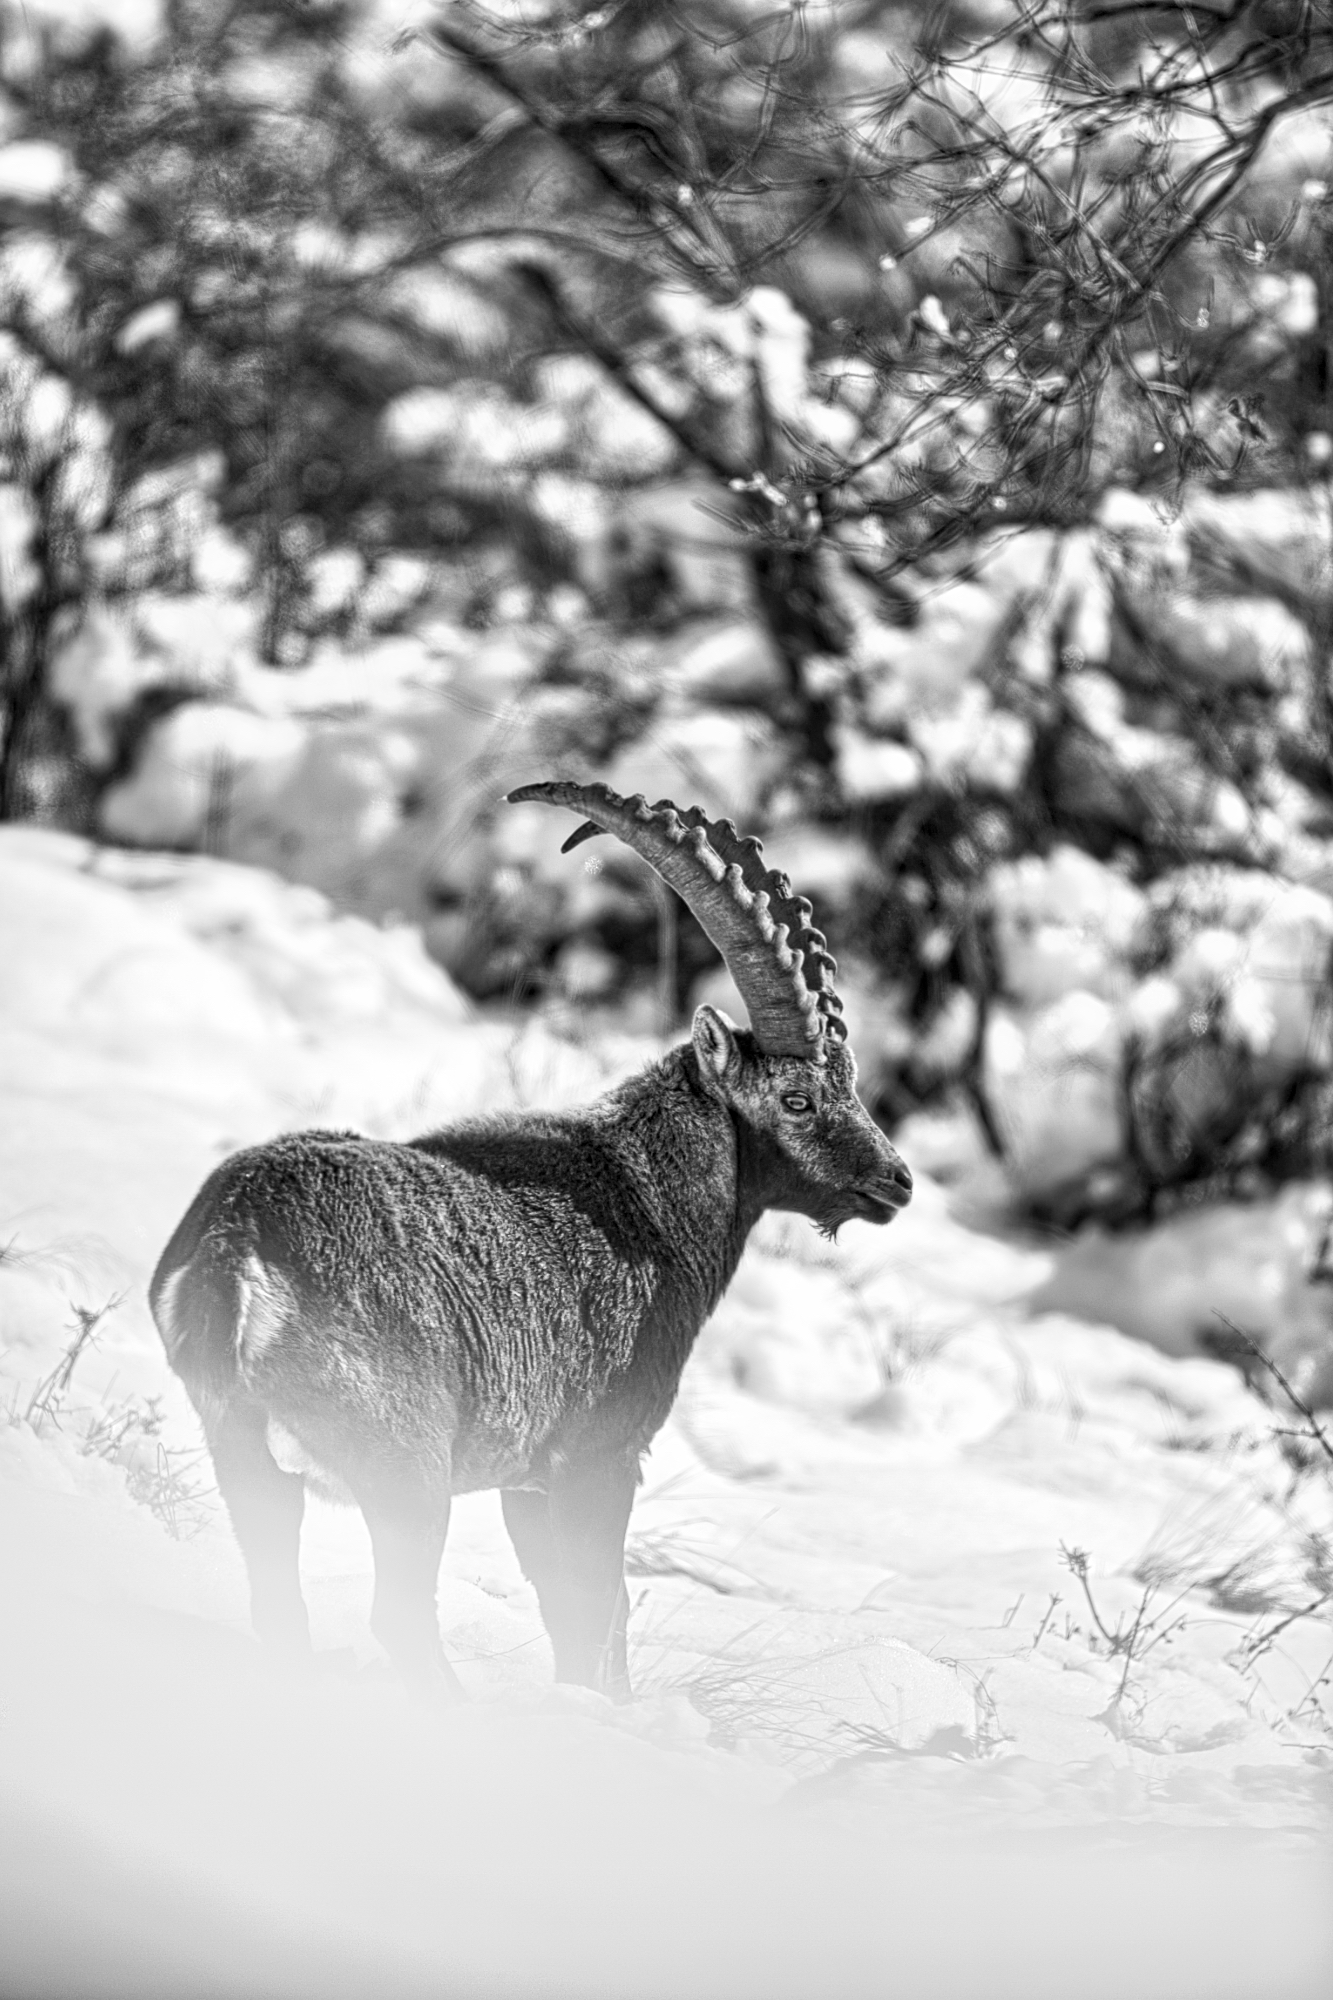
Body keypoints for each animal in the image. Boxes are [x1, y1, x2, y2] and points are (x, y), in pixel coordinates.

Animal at [149, 781, 913, 1701]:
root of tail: (238, 1238)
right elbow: (595, 1614)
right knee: (398, 1616)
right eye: (798, 1099)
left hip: (248, 1457)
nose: (896, 1181)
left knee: (278, 1606)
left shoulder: (527, 1480)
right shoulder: (598, 1459)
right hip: (403, 1464)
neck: (650, 1204)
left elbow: (571, 1616)